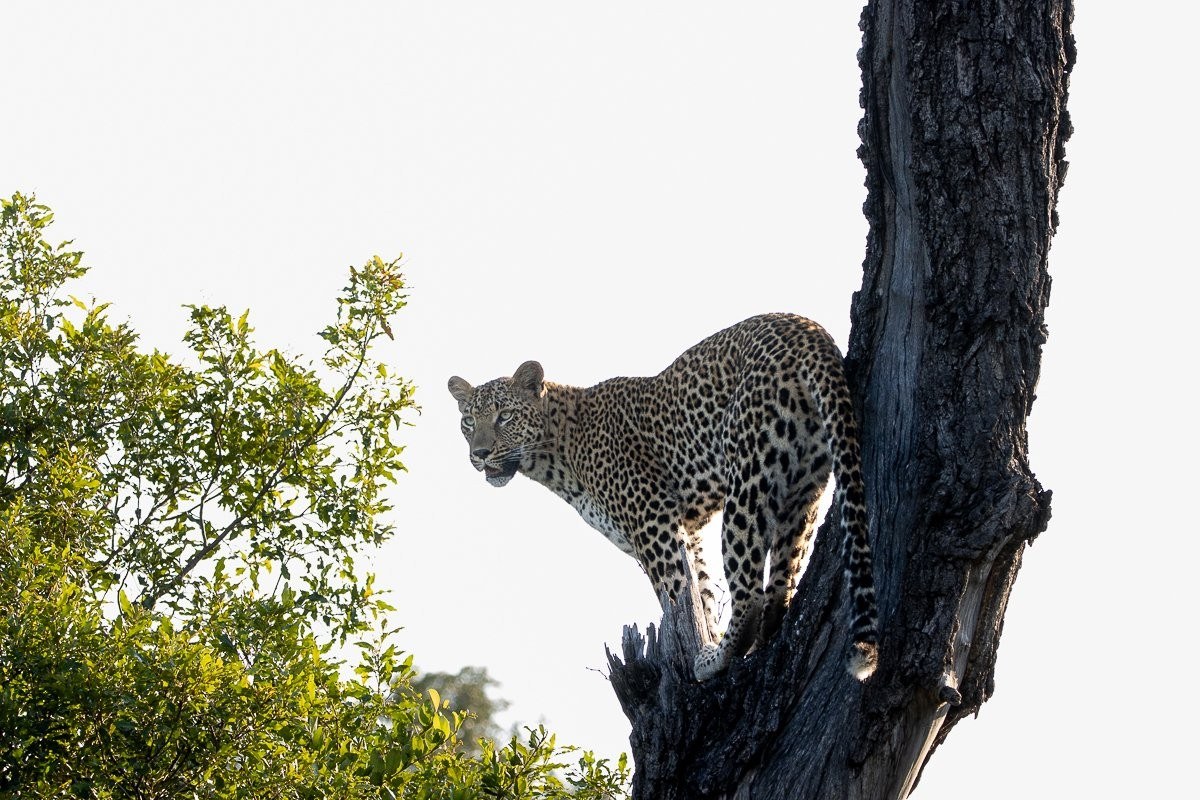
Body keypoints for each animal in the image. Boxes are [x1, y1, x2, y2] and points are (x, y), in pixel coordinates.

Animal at [447, 313, 879, 681]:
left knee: (749, 591)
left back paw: (715, 658)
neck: (558, 453)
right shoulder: (688, 528)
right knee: (780, 584)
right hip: (806, 486)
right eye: (468, 422)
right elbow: (700, 592)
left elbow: (673, 592)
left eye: (504, 416)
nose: (479, 454)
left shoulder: (652, 521)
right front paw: (703, 634)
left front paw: (699, 650)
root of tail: (808, 330)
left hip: (747, 475)